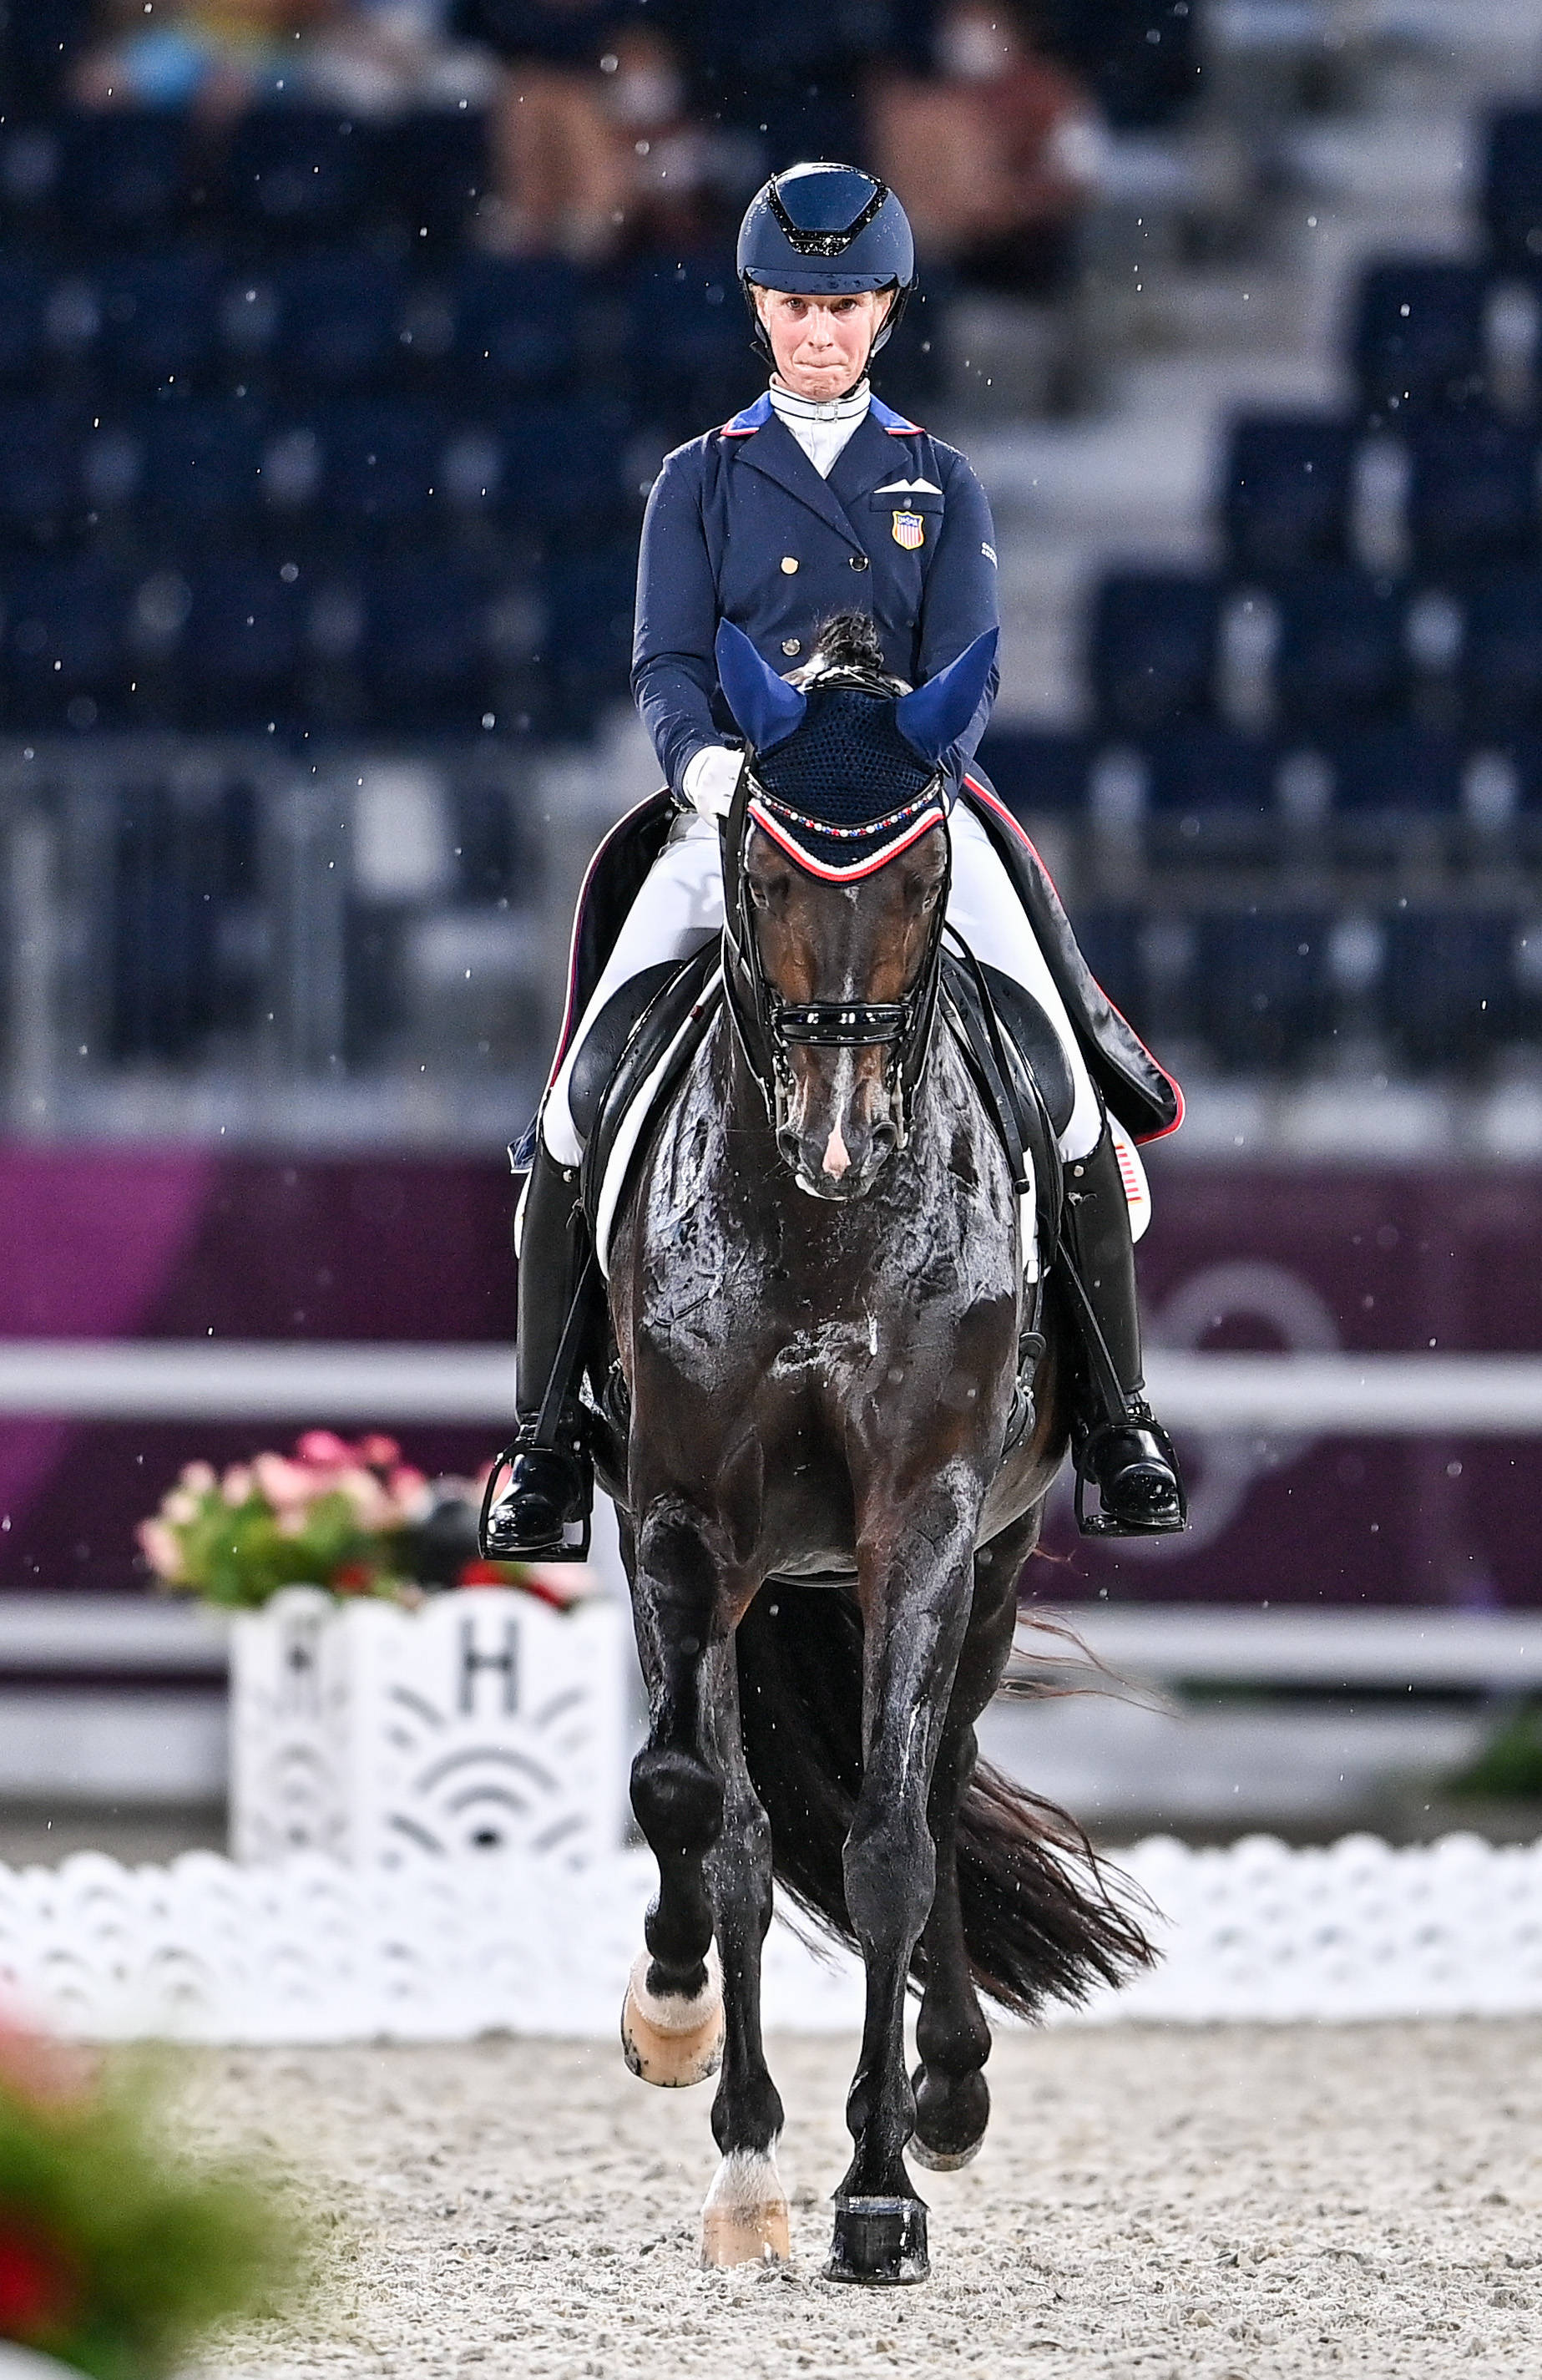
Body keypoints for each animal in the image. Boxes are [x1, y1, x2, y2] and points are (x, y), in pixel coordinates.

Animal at [585, 614, 1151, 2285]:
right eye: (763, 875)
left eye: (923, 877)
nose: (841, 1143)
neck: (821, 1233)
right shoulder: (681, 1523)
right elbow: (703, 1808)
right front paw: (699, 2072)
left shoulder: (925, 1523)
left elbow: (893, 1835)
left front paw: (878, 2191)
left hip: (996, 1563)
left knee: (943, 1774)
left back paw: (941, 2087)